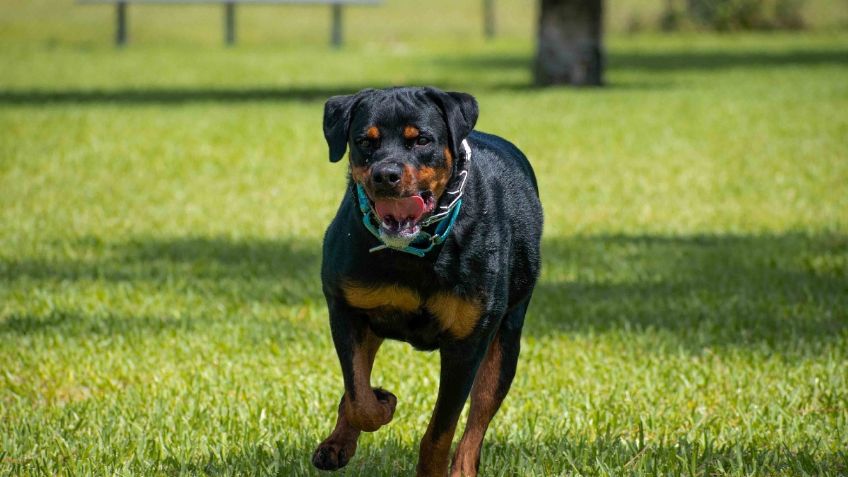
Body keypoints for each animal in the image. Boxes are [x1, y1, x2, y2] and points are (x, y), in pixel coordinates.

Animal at [314, 86, 544, 476]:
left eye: (421, 140)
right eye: (364, 141)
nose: (385, 174)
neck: (414, 252)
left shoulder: (467, 344)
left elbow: (441, 430)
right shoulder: (345, 308)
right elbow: (358, 396)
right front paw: (381, 404)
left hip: (506, 339)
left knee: (477, 420)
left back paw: (463, 468)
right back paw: (338, 443)